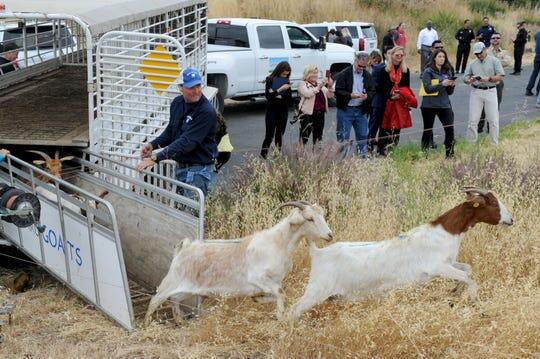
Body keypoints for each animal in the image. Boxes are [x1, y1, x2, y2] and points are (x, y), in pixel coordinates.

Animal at [146, 202, 336, 326]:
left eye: (322, 215)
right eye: (310, 219)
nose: (329, 235)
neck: (278, 242)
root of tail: (184, 247)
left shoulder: (272, 282)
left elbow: (275, 294)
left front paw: (259, 299)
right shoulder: (258, 277)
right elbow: (280, 293)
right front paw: (281, 317)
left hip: (187, 289)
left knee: (174, 299)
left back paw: (179, 321)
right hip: (171, 281)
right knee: (155, 299)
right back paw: (148, 325)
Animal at [288, 188, 512, 320]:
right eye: (493, 204)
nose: (510, 220)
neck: (448, 231)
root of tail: (318, 253)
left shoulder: (450, 262)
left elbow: (467, 269)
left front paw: (455, 292)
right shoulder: (438, 267)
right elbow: (468, 277)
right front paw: (479, 307)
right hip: (317, 289)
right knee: (294, 309)